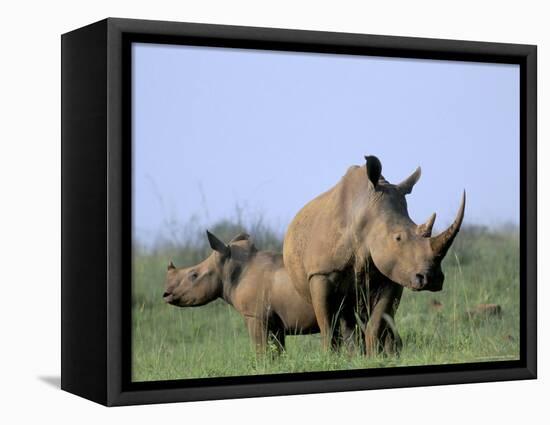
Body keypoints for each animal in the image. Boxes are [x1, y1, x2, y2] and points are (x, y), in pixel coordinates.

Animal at [163, 230, 320, 352]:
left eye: (193, 275)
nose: (166, 294)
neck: (229, 269)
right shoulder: (275, 322)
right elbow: (277, 352)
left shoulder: (255, 316)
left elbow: (262, 352)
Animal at [284, 156, 466, 354]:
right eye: (398, 238)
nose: (432, 279)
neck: (365, 214)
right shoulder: (321, 273)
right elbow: (327, 325)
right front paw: (331, 356)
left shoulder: (392, 273)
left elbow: (378, 320)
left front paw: (374, 356)